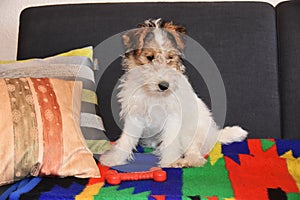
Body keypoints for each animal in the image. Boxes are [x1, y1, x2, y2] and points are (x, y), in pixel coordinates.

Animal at [99, 18, 247, 167]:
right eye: (149, 57)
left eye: (170, 57)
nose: (164, 85)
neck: (154, 95)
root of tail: (214, 134)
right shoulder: (135, 114)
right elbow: (126, 140)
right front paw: (114, 158)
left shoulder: (173, 116)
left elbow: (171, 141)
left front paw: (170, 161)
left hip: (191, 130)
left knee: (193, 148)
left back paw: (192, 160)